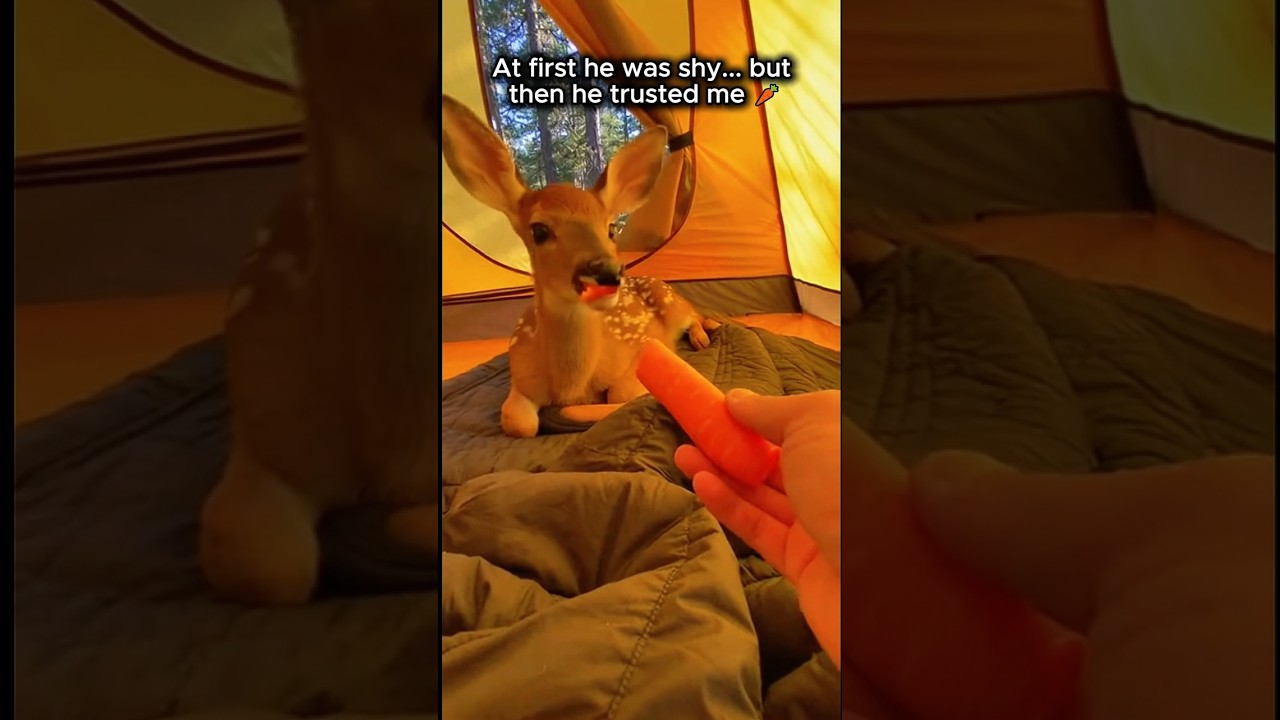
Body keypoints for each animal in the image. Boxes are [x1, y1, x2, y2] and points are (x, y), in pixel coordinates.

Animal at [440, 96, 717, 439]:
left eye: (611, 228)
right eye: (539, 230)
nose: (606, 270)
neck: (570, 385)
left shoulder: (635, 359)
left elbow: (622, 396)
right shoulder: (519, 375)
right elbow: (519, 422)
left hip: (671, 300)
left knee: (698, 314)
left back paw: (705, 335)